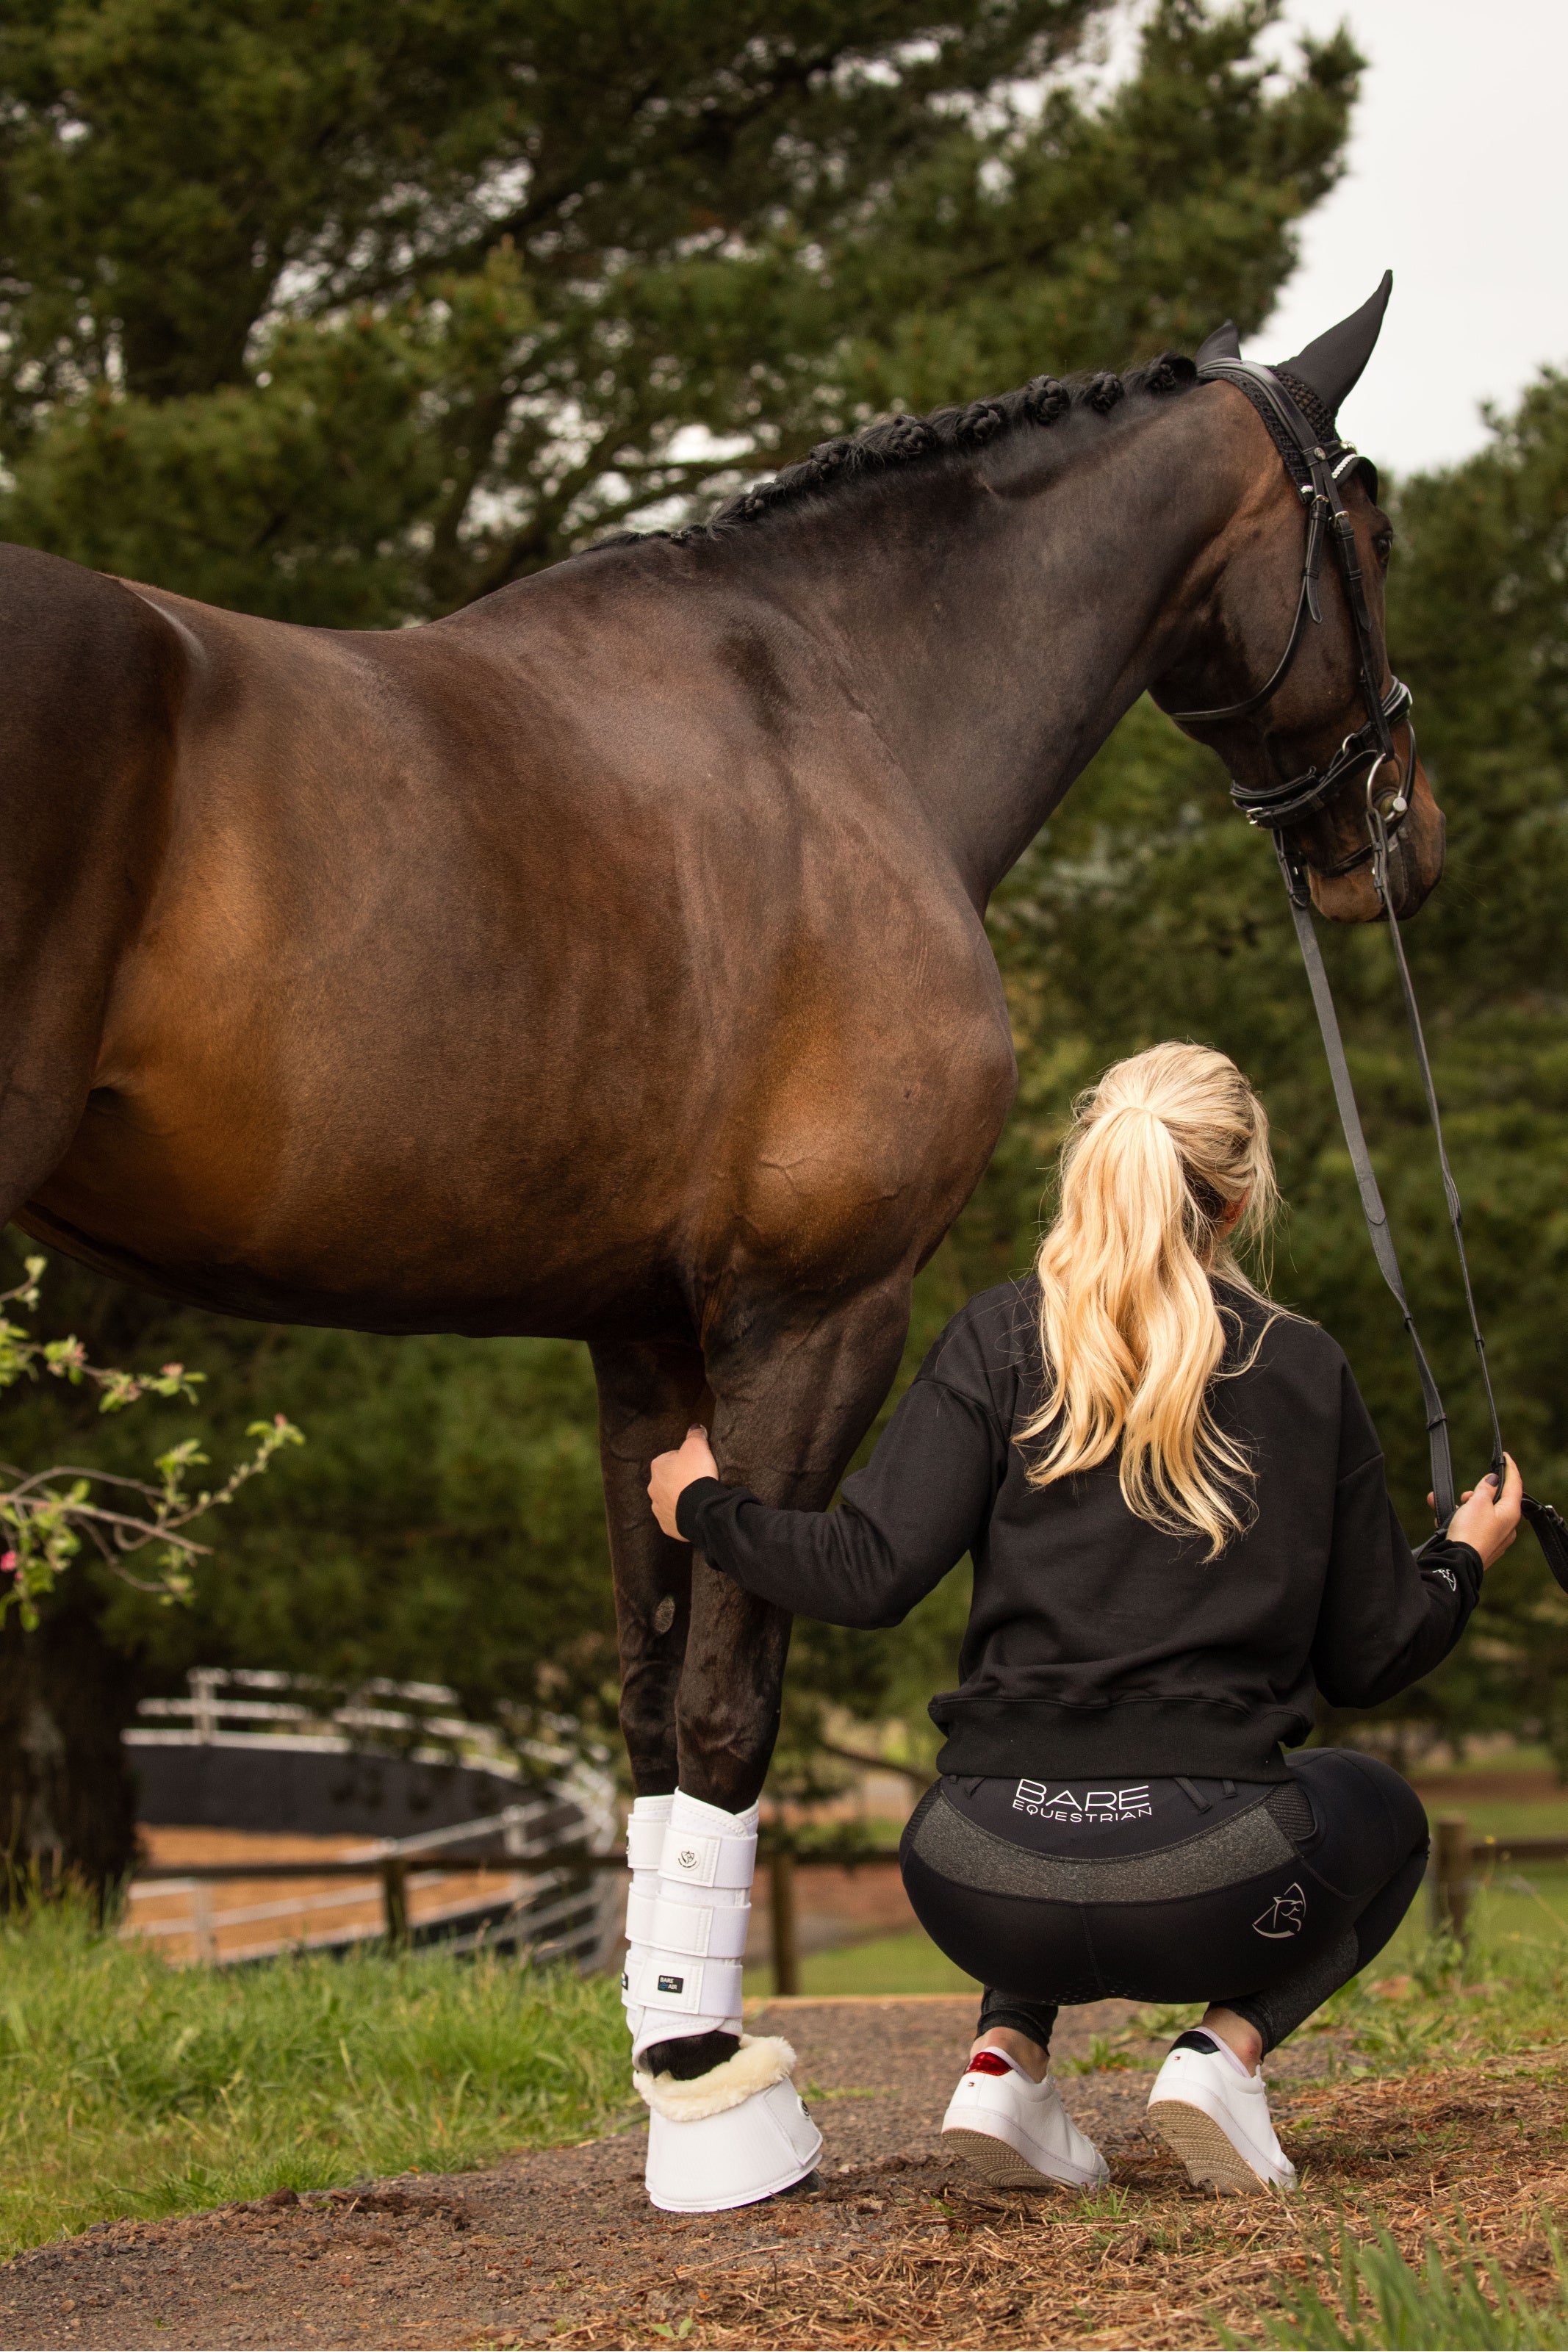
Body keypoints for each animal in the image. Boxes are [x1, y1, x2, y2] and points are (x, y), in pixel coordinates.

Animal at [0, 282, 1438, 1899]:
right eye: (1368, 529)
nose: (1397, 831)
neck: (842, 708)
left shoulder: (641, 1345)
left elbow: (645, 1711)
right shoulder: (816, 1317)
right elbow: (723, 1724)